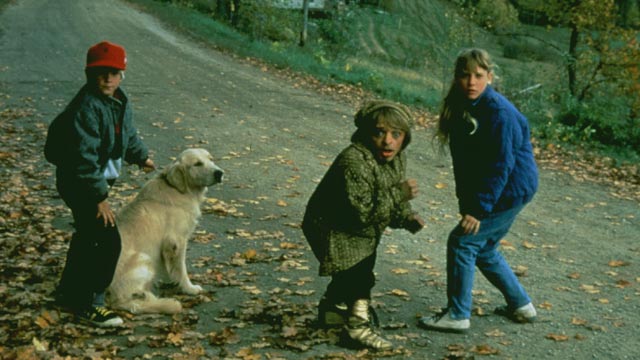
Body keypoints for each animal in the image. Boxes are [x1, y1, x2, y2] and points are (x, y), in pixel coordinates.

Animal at [107, 148, 222, 314]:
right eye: (197, 164)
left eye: (211, 159)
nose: (220, 173)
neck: (178, 189)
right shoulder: (176, 241)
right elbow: (181, 268)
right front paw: (189, 288)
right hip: (144, 258)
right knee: (129, 302)